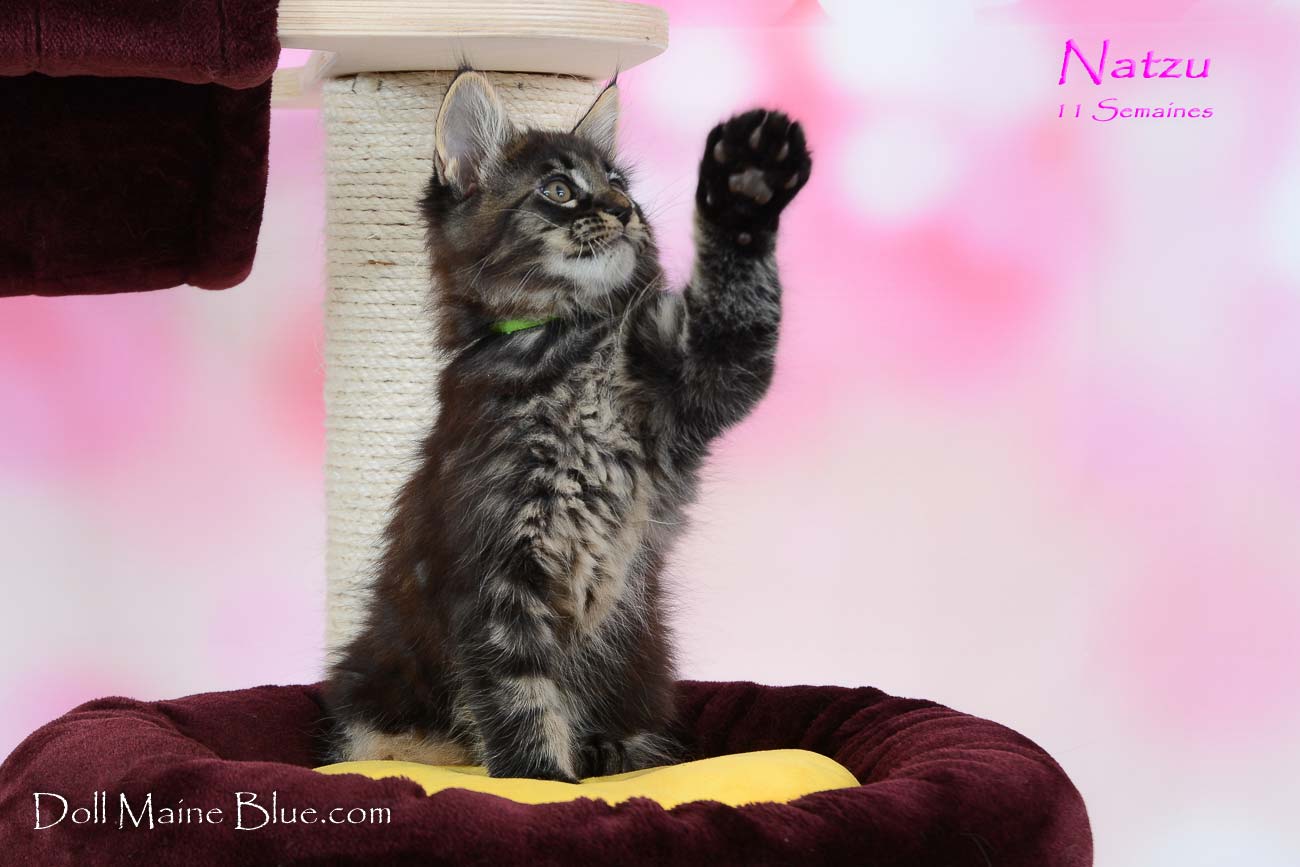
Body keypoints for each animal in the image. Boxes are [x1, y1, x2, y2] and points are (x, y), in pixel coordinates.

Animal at [323, 70, 811, 782]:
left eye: (620, 183)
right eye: (558, 190)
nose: (625, 210)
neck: (567, 347)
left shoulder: (700, 375)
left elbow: (739, 300)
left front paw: (748, 186)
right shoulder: (495, 577)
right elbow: (520, 701)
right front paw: (545, 784)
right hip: (376, 694)